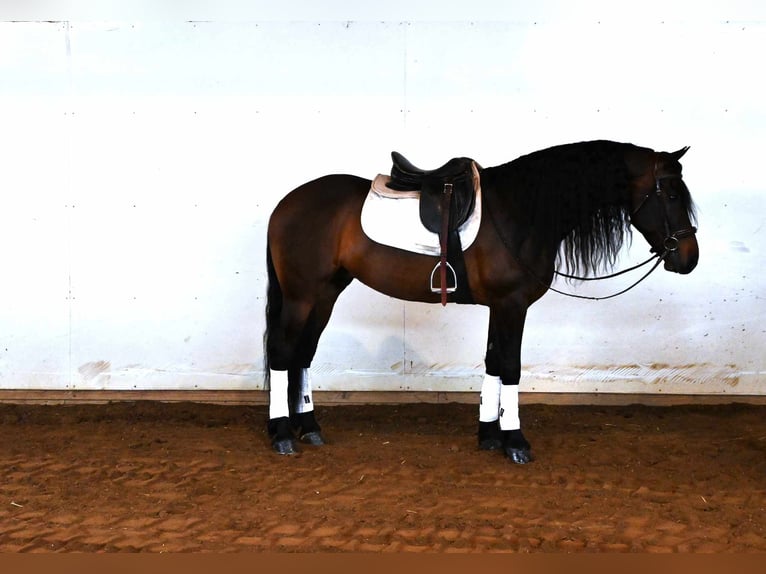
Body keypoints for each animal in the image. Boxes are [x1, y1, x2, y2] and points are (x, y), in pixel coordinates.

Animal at [264, 142, 704, 466]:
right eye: (670, 193)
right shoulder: (512, 305)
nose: (688, 258)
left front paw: (490, 435)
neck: (523, 209)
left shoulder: (501, 308)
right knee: (283, 354)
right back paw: (283, 435)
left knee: (302, 355)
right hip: (302, 295)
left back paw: (309, 427)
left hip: (325, 294)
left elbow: (493, 363)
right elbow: (510, 367)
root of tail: (286, 203)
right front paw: (516, 441)